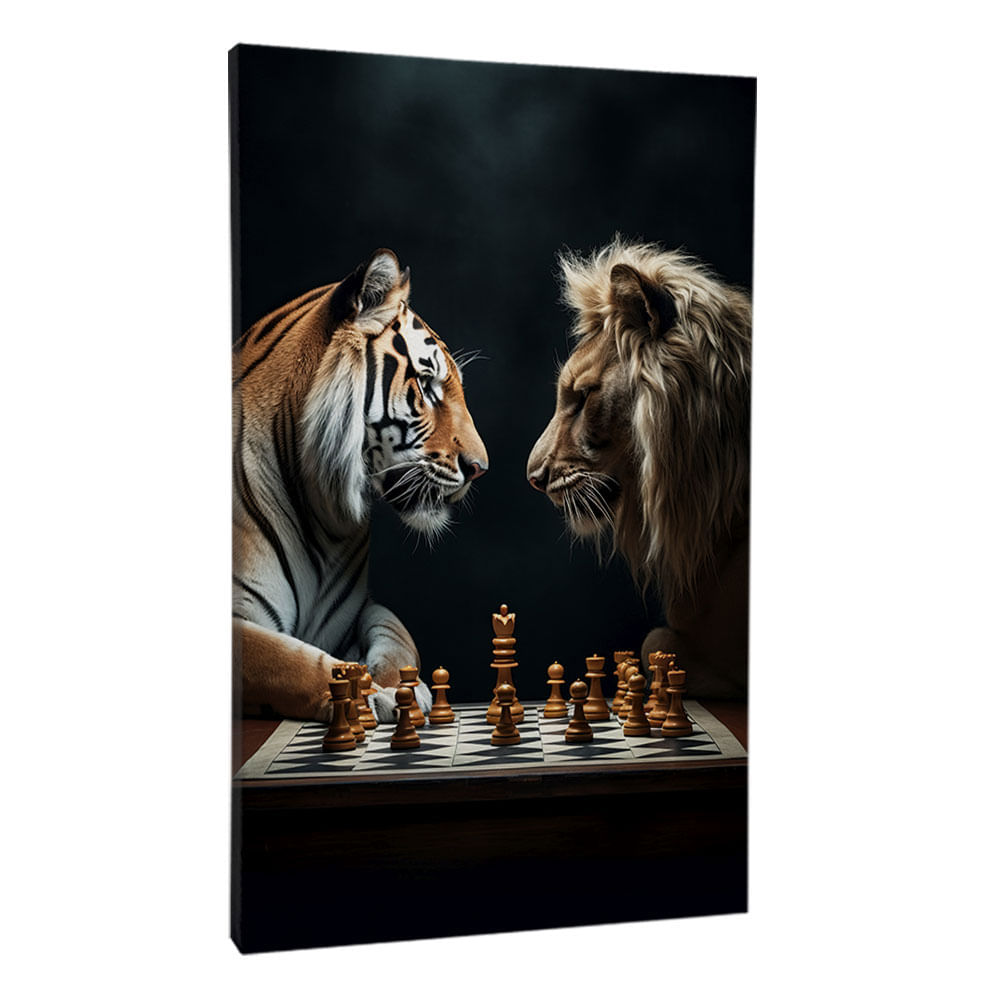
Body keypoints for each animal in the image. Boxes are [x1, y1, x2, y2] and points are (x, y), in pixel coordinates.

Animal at [233, 249, 488, 723]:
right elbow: (294, 662)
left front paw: (404, 688)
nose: (480, 467)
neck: (320, 513)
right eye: (426, 385)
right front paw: (374, 696)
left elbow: (397, 637)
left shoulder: (354, 615)